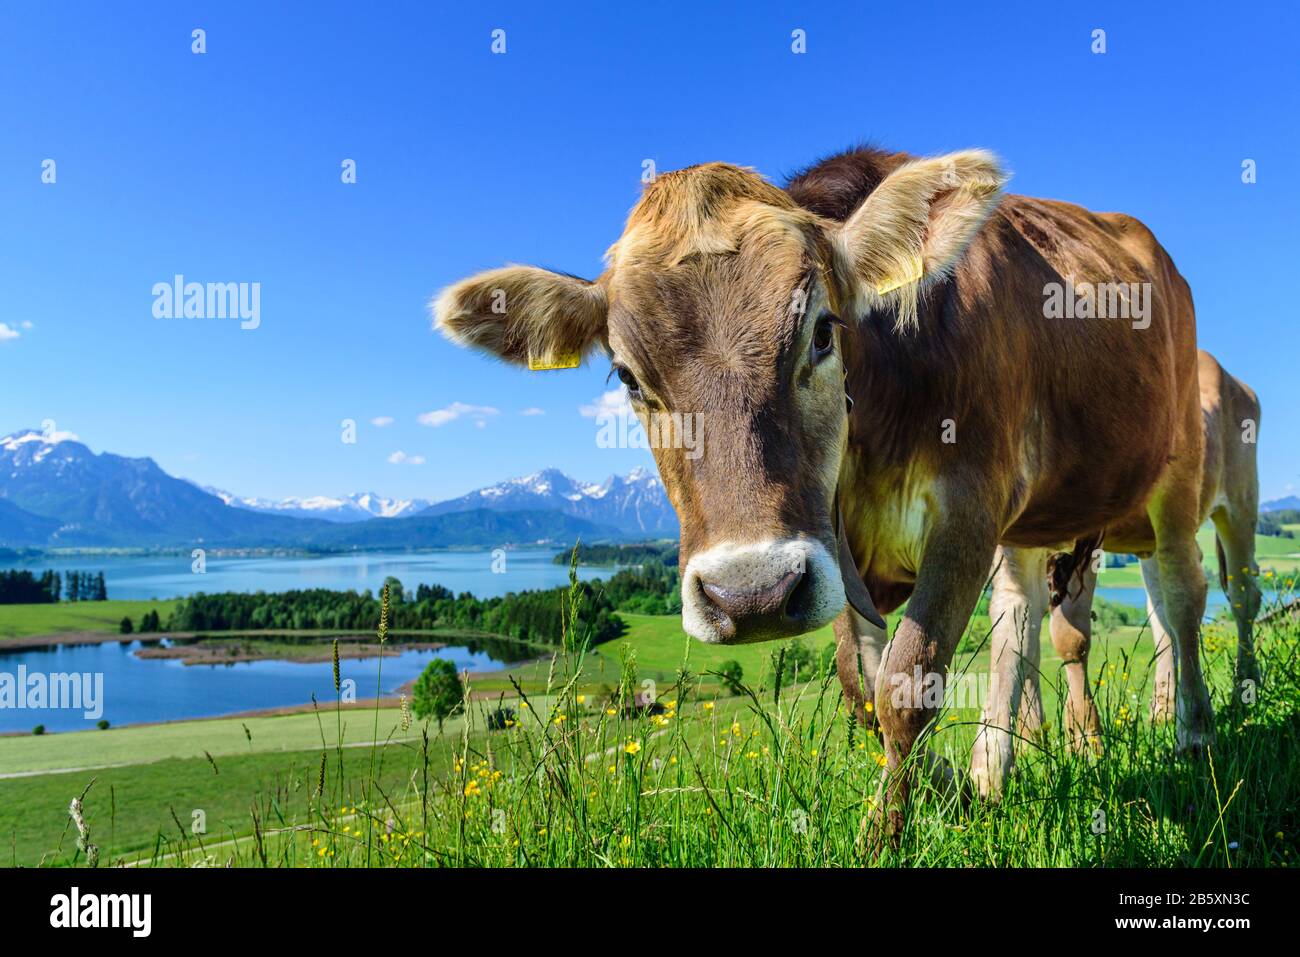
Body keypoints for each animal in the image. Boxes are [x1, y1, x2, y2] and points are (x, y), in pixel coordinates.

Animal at [433, 145, 1214, 835]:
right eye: (626, 375)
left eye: (821, 332)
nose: (749, 595)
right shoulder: (835, 544)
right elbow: (864, 690)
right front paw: (958, 790)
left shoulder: (968, 509)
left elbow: (906, 687)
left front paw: (883, 835)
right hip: (1027, 525)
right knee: (1018, 620)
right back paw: (996, 767)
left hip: (1176, 469)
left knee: (1181, 600)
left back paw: (1196, 737)